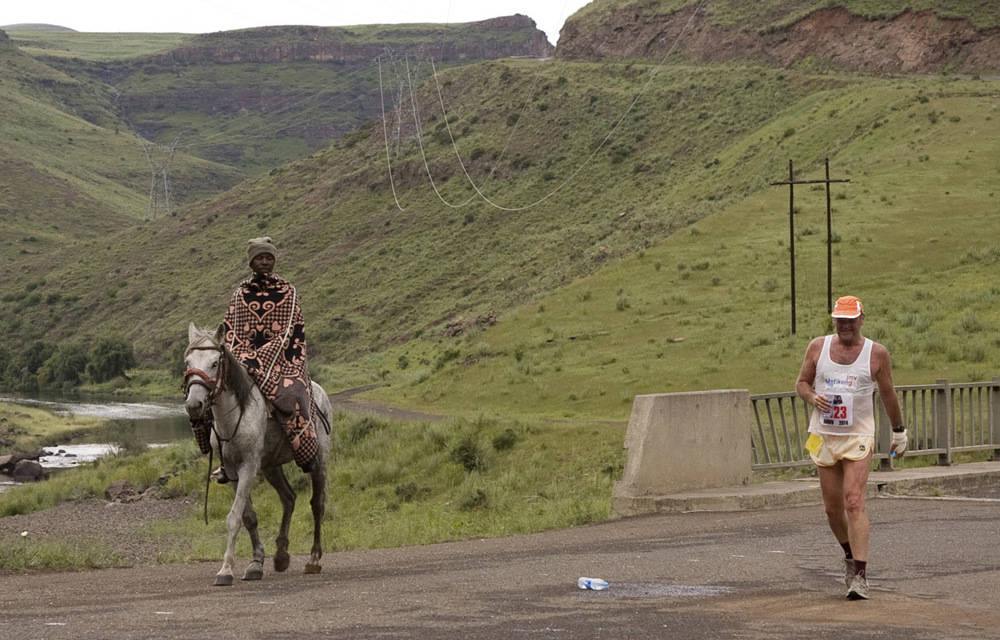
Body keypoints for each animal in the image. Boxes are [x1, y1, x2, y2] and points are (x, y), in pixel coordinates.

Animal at [182, 322, 334, 588]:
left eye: (214, 363)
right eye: (188, 361)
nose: (194, 405)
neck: (234, 416)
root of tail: (320, 392)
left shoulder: (248, 468)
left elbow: (234, 517)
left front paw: (225, 570)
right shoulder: (233, 472)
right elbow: (249, 517)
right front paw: (256, 563)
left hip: (319, 463)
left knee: (317, 505)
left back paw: (314, 559)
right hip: (271, 466)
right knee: (289, 498)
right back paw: (281, 556)